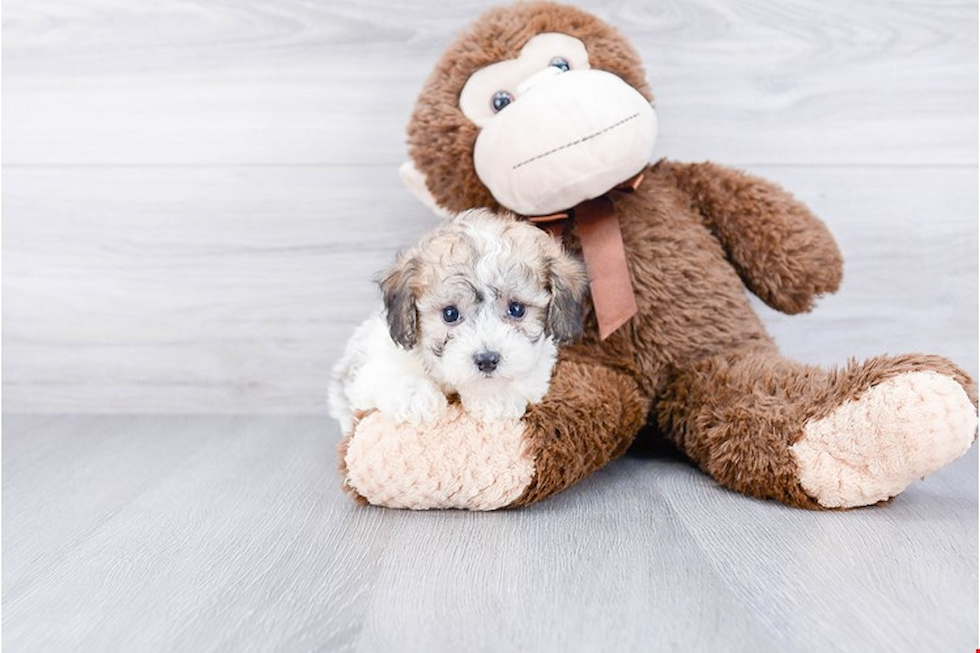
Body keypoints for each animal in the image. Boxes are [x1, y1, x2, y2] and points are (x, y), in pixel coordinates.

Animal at [330, 209, 588, 430]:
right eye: (450, 314)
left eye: (516, 309)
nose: (487, 360)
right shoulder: (367, 370)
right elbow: (388, 375)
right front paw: (417, 399)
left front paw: (494, 397)